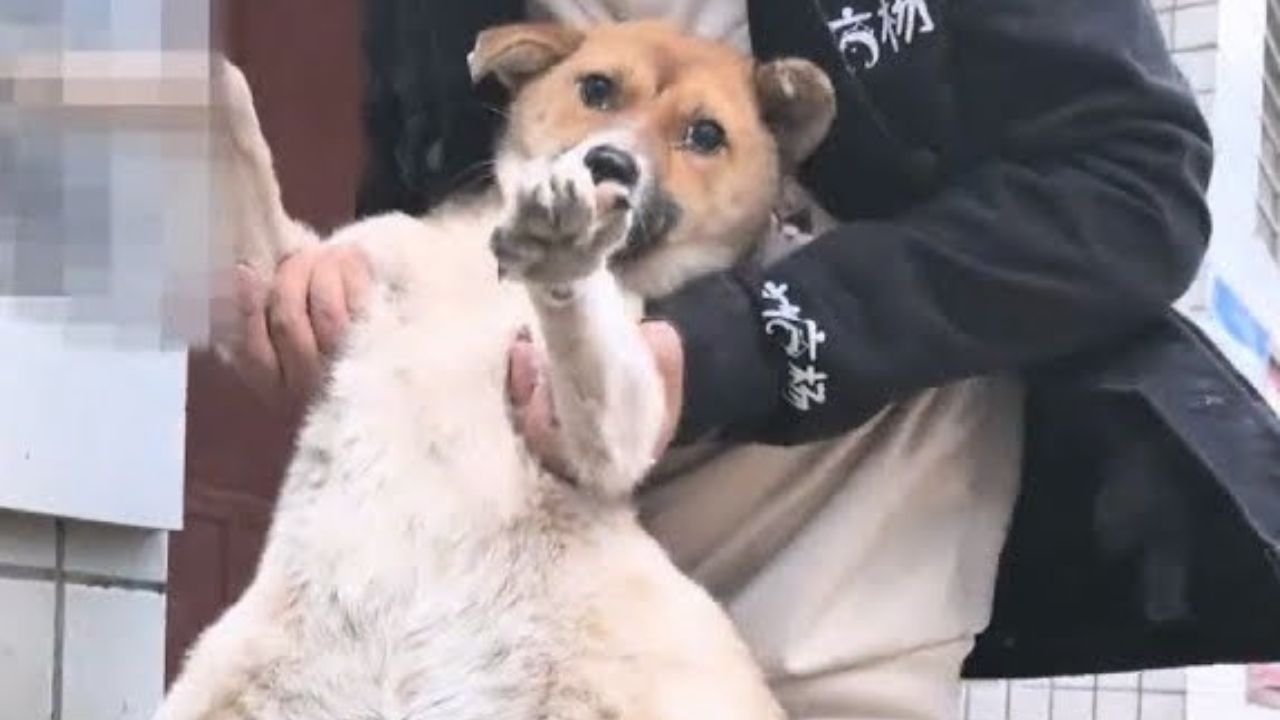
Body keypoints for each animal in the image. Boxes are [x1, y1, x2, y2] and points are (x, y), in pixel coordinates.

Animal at [157, 19, 839, 712]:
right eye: (597, 89)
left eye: (705, 135)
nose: (609, 165)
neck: (489, 279)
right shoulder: (281, 276)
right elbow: (236, 114)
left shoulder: (611, 429)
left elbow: (584, 334)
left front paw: (565, 250)